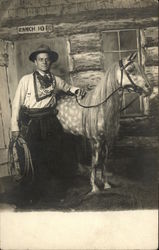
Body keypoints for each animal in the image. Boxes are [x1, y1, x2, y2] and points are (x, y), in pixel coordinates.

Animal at [56, 52, 152, 193]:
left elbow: (104, 161)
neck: (100, 107)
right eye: (130, 70)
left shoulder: (106, 139)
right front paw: (94, 187)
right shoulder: (96, 140)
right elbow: (95, 162)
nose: (149, 89)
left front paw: (106, 184)